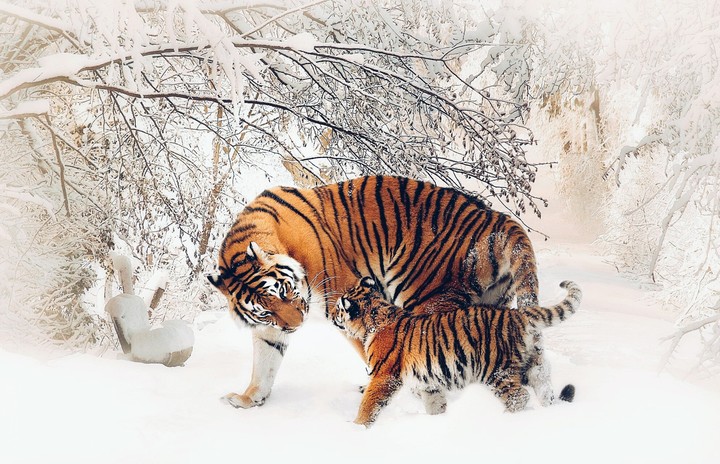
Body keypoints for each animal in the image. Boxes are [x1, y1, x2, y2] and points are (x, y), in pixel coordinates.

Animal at [208, 175, 544, 409]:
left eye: (285, 291)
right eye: (265, 310)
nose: (296, 325)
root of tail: (499, 219)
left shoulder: (342, 299)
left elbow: (370, 349)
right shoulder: (270, 328)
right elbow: (264, 362)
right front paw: (249, 399)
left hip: (427, 298)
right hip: (493, 304)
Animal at [330, 277, 582, 427]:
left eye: (339, 308)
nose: (330, 315)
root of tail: (517, 314)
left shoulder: (384, 377)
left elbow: (369, 404)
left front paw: (357, 428)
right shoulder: (429, 382)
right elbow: (435, 404)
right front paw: (437, 422)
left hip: (496, 371)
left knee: (519, 397)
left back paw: (505, 420)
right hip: (533, 365)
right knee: (544, 388)